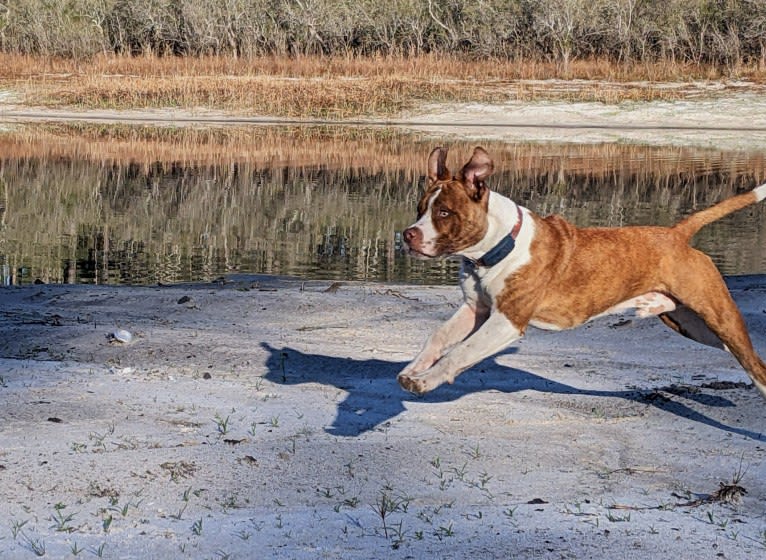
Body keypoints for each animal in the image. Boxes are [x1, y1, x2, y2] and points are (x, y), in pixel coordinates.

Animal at [400, 145, 766, 398]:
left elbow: (460, 352)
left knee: (756, 367)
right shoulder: (475, 309)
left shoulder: (507, 321)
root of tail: (677, 234)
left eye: (444, 212)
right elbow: (439, 337)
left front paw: (426, 381)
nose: (407, 235)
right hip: (695, 327)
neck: (497, 246)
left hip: (722, 320)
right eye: (419, 209)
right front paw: (414, 369)